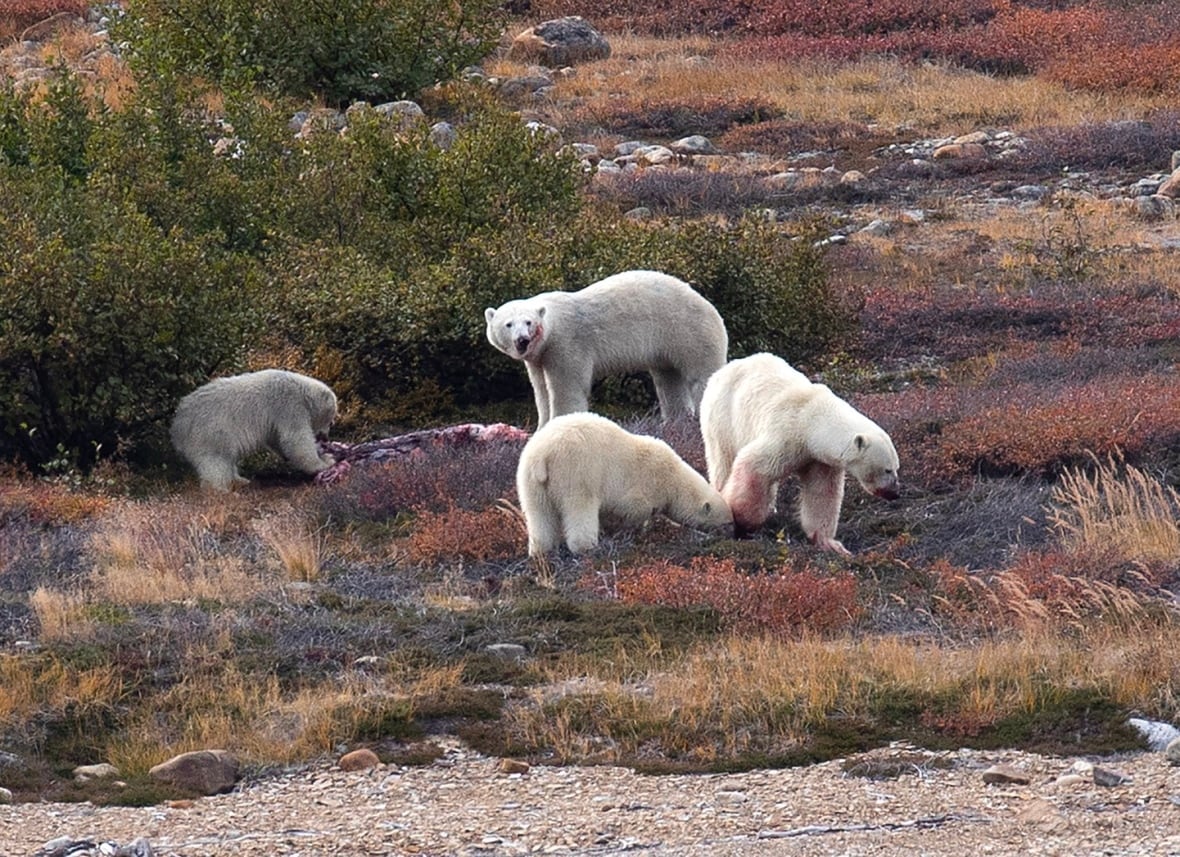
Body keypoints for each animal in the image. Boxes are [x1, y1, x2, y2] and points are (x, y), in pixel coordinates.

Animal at [170, 369, 338, 492]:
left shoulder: (276, 419)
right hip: (210, 431)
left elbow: (277, 440)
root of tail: (177, 426)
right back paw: (221, 490)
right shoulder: (288, 405)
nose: (326, 437)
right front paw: (324, 462)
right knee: (215, 460)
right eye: (330, 420)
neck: (301, 390)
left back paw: (240, 480)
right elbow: (296, 438)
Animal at [484, 270, 727, 428]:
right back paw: (676, 421)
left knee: (703, 373)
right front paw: (541, 427)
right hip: (667, 345)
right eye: (508, 324)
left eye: (528, 322)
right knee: (669, 379)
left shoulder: (565, 344)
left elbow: (566, 388)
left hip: (688, 330)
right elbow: (541, 391)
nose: (522, 340)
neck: (551, 327)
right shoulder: (539, 358)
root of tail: (711, 307)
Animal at [515, 412, 733, 557]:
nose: (732, 535)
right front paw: (631, 532)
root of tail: (543, 456)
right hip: (576, 473)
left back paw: (540, 550)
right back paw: (587, 547)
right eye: (728, 522)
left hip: (530, 480)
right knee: (580, 507)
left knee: (538, 513)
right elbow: (634, 510)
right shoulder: (644, 485)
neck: (673, 478)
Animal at [699, 352, 899, 555]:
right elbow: (753, 466)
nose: (895, 493)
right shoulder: (787, 435)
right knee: (723, 461)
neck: (813, 418)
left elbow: (822, 493)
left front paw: (831, 543)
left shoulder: (819, 459)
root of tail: (721, 371)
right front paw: (744, 523)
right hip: (722, 418)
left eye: (896, 467)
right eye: (888, 469)